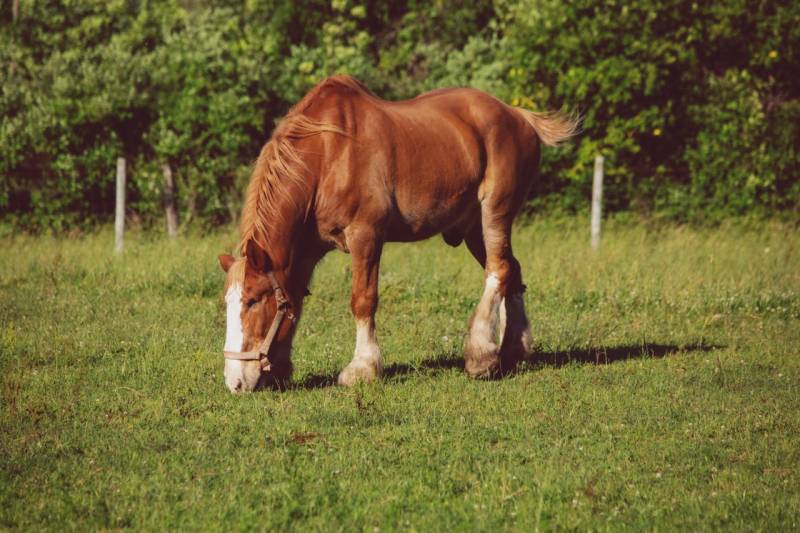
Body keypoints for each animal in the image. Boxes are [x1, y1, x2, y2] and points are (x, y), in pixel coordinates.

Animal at [219, 75, 576, 390]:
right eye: (228, 302)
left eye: (253, 300)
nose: (235, 382)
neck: (328, 155)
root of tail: (517, 115)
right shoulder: (306, 252)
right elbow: (294, 302)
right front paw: (279, 368)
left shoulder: (365, 237)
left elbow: (363, 300)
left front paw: (362, 367)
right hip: (475, 229)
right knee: (509, 271)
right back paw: (512, 349)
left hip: (495, 213)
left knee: (499, 270)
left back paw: (480, 355)